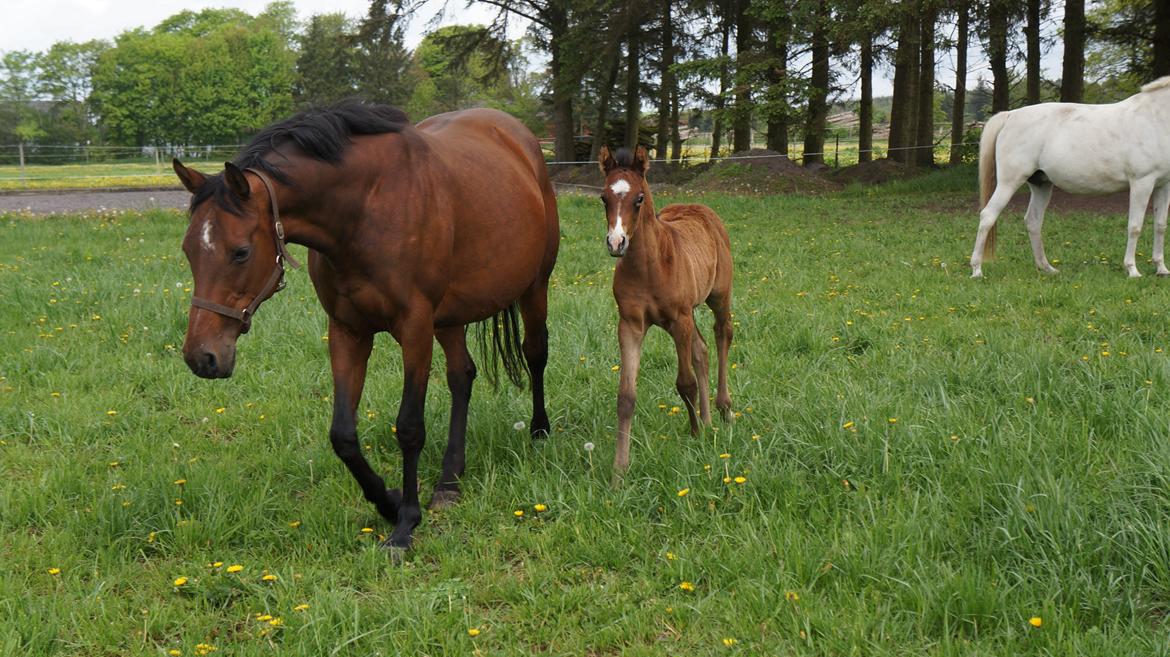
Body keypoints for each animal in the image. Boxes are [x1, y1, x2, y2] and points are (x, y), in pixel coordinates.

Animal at [599, 145, 734, 472]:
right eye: (603, 198)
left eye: (639, 198)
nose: (616, 243)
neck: (649, 267)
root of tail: (699, 207)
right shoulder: (630, 324)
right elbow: (625, 397)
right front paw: (619, 469)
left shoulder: (679, 319)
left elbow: (685, 383)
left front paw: (695, 435)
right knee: (701, 350)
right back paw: (708, 420)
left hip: (718, 297)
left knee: (722, 333)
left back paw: (723, 410)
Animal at [968, 75, 1170, 275]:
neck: (1154, 119)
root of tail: (1010, 115)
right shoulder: (1141, 183)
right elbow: (1135, 226)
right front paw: (1132, 270)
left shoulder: (1163, 185)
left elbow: (1160, 225)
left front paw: (1161, 268)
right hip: (1009, 183)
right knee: (987, 216)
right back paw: (977, 270)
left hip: (1041, 185)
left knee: (1033, 221)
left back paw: (1046, 268)